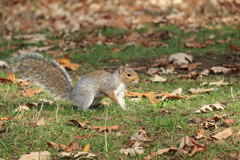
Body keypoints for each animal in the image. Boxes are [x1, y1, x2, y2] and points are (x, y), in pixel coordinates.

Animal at [10, 52, 140, 110]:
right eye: (129, 74)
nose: (138, 80)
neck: (120, 82)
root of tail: (73, 96)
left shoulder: (120, 93)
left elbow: (122, 101)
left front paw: (125, 109)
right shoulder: (108, 85)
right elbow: (108, 92)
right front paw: (115, 101)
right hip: (87, 96)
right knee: (80, 108)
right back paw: (88, 111)